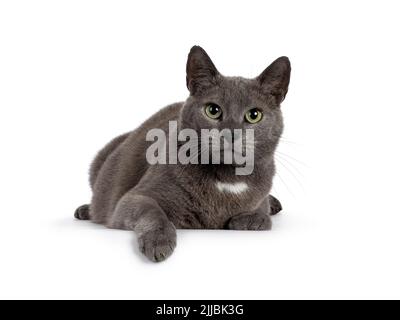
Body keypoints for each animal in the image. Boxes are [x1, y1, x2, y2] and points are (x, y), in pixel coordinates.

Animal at [74, 47, 290, 262]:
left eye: (254, 115)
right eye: (213, 110)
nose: (231, 134)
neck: (227, 177)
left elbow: (261, 217)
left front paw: (248, 219)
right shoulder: (133, 198)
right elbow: (151, 211)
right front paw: (158, 243)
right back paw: (85, 210)